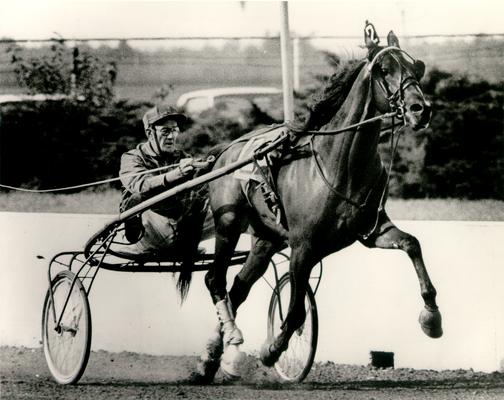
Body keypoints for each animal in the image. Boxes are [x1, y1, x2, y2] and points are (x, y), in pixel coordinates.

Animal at [193, 22, 440, 382]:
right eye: (384, 69)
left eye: (416, 67)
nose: (420, 109)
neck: (341, 162)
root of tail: (226, 150)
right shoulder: (303, 246)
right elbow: (296, 311)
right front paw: (272, 350)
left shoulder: (372, 230)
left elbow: (412, 244)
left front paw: (432, 316)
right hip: (229, 224)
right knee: (216, 280)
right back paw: (221, 351)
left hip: (265, 240)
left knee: (238, 287)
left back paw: (213, 359)